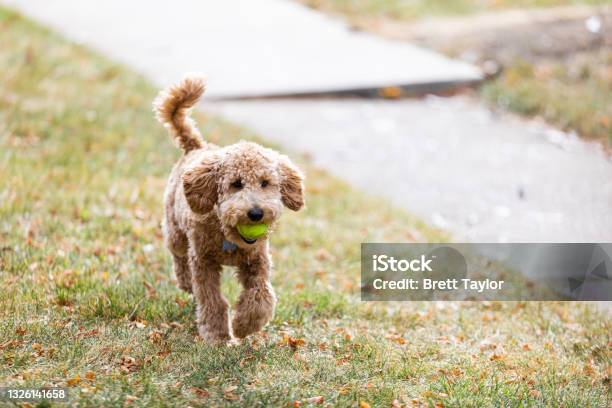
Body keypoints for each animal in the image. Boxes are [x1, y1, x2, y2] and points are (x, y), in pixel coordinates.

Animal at [154, 75, 304, 344]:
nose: (255, 213)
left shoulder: (257, 261)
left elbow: (261, 294)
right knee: (178, 256)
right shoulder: (203, 262)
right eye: (236, 184)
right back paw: (185, 282)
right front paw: (217, 335)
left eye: (265, 183)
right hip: (175, 231)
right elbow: (212, 300)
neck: (228, 237)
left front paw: (245, 325)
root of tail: (196, 147)